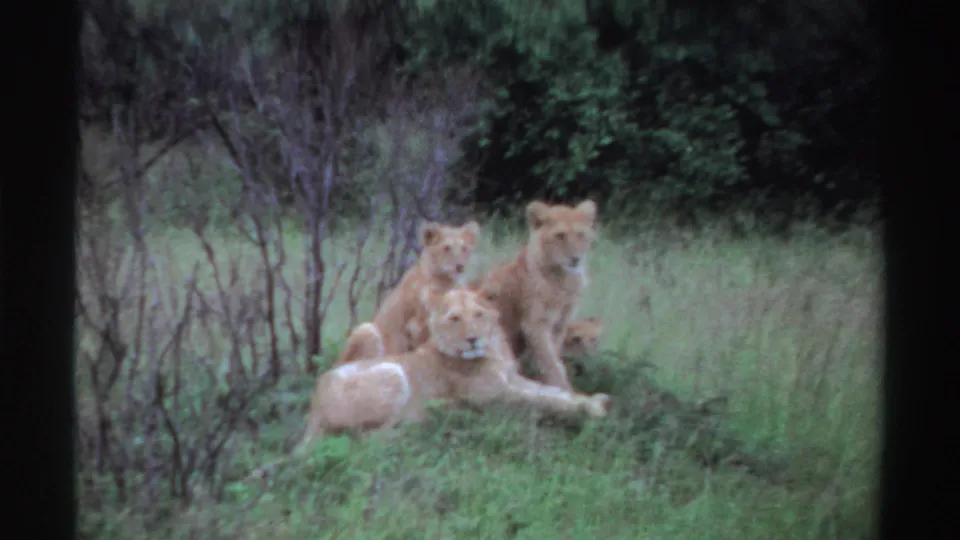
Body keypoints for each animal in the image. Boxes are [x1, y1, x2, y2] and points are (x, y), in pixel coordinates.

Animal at [296, 287, 611, 454]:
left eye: (479, 315)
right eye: (455, 318)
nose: (472, 339)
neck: (494, 351)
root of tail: (313, 406)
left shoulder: (512, 379)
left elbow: (551, 391)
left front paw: (592, 400)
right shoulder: (496, 396)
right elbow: (543, 400)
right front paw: (591, 409)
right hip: (392, 373)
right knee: (363, 439)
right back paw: (428, 425)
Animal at [333, 220, 481, 367]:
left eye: (464, 249)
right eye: (446, 248)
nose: (460, 266)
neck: (448, 281)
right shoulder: (416, 325)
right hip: (366, 329)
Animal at [473, 200, 598, 391]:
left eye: (581, 235)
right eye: (560, 236)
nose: (575, 259)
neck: (563, 279)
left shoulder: (560, 324)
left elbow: (553, 358)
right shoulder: (535, 325)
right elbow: (552, 363)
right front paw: (564, 390)